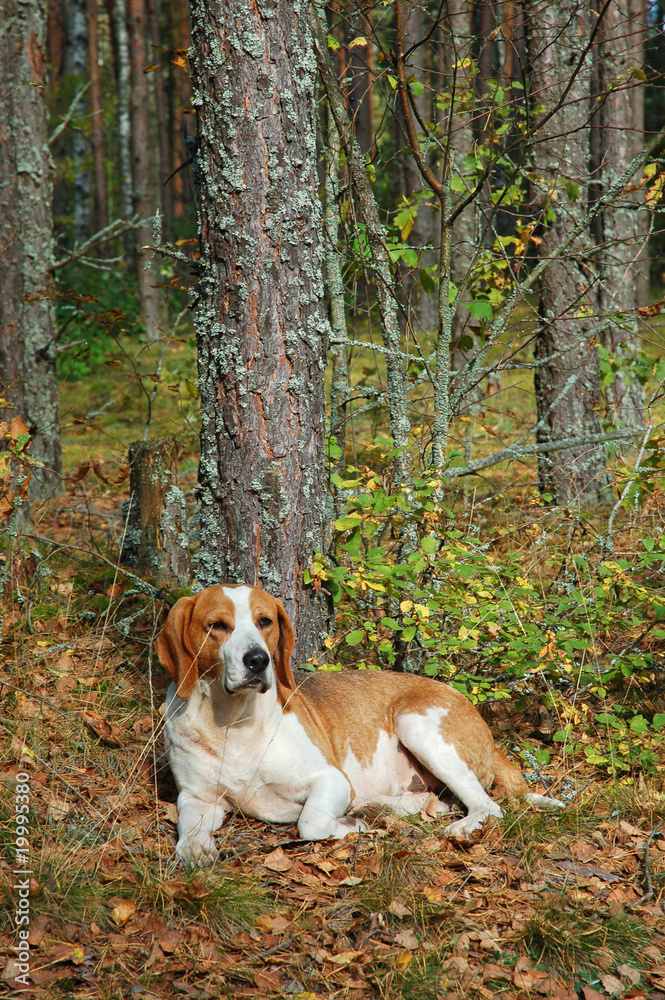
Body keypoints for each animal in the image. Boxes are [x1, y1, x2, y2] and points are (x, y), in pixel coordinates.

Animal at [156, 584, 560, 868]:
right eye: (217, 626)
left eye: (264, 621)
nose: (258, 660)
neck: (233, 723)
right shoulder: (196, 798)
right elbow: (188, 824)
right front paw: (194, 849)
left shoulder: (332, 780)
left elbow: (310, 823)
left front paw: (347, 827)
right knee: (438, 801)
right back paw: (379, 808)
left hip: (416, 725)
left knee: (487, 806)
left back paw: (455, 825)